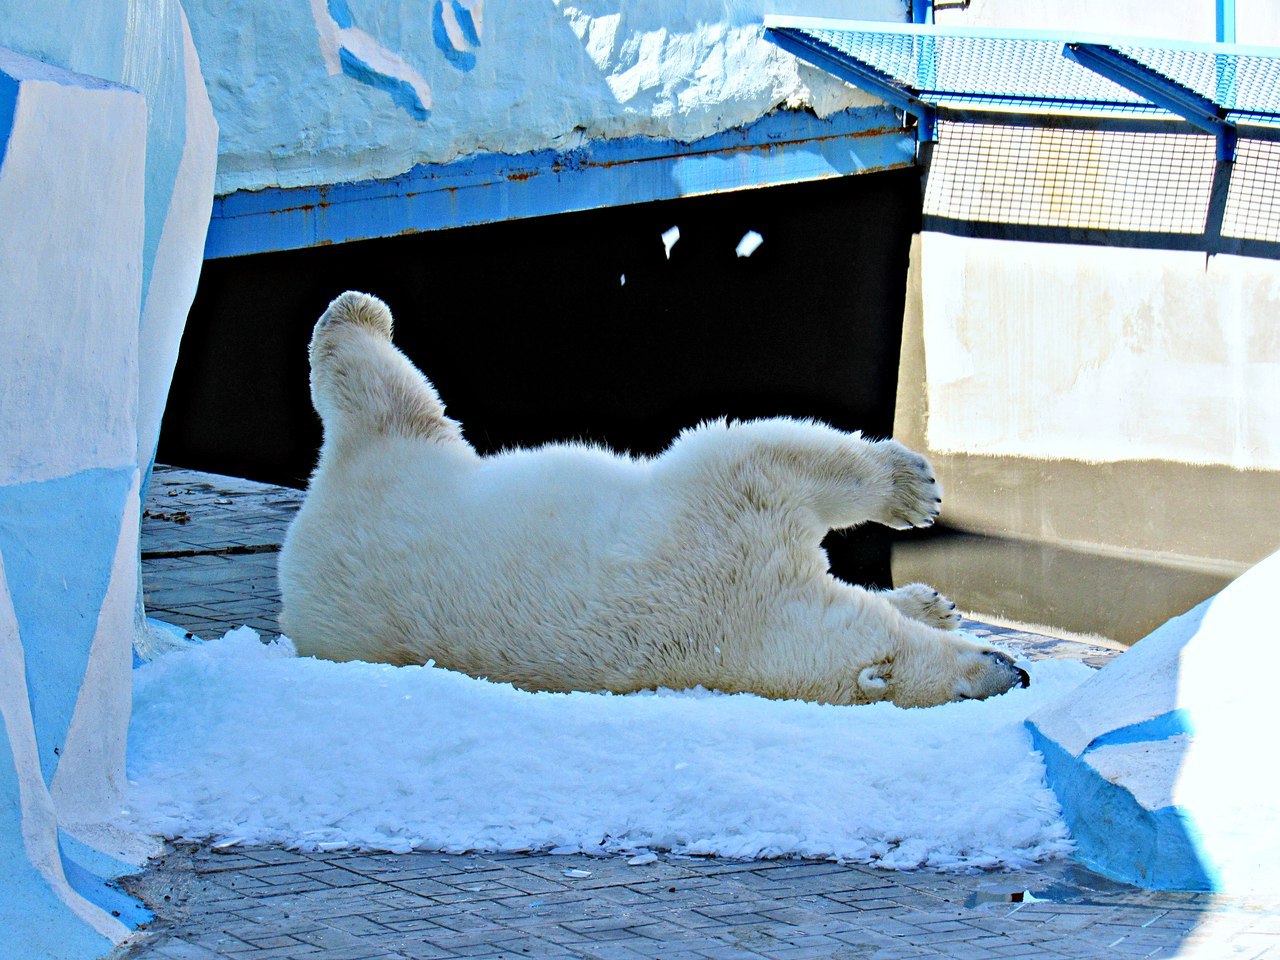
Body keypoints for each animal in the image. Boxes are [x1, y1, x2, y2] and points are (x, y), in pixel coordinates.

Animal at [280, 291, 1029, 706]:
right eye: (960, 691)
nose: (1018, 673)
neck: (739, 627)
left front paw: (928, 602)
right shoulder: (727, 520)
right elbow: (769, 453)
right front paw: (913, 490)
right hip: (406, 476)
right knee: (388, 396)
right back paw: (359, 311)